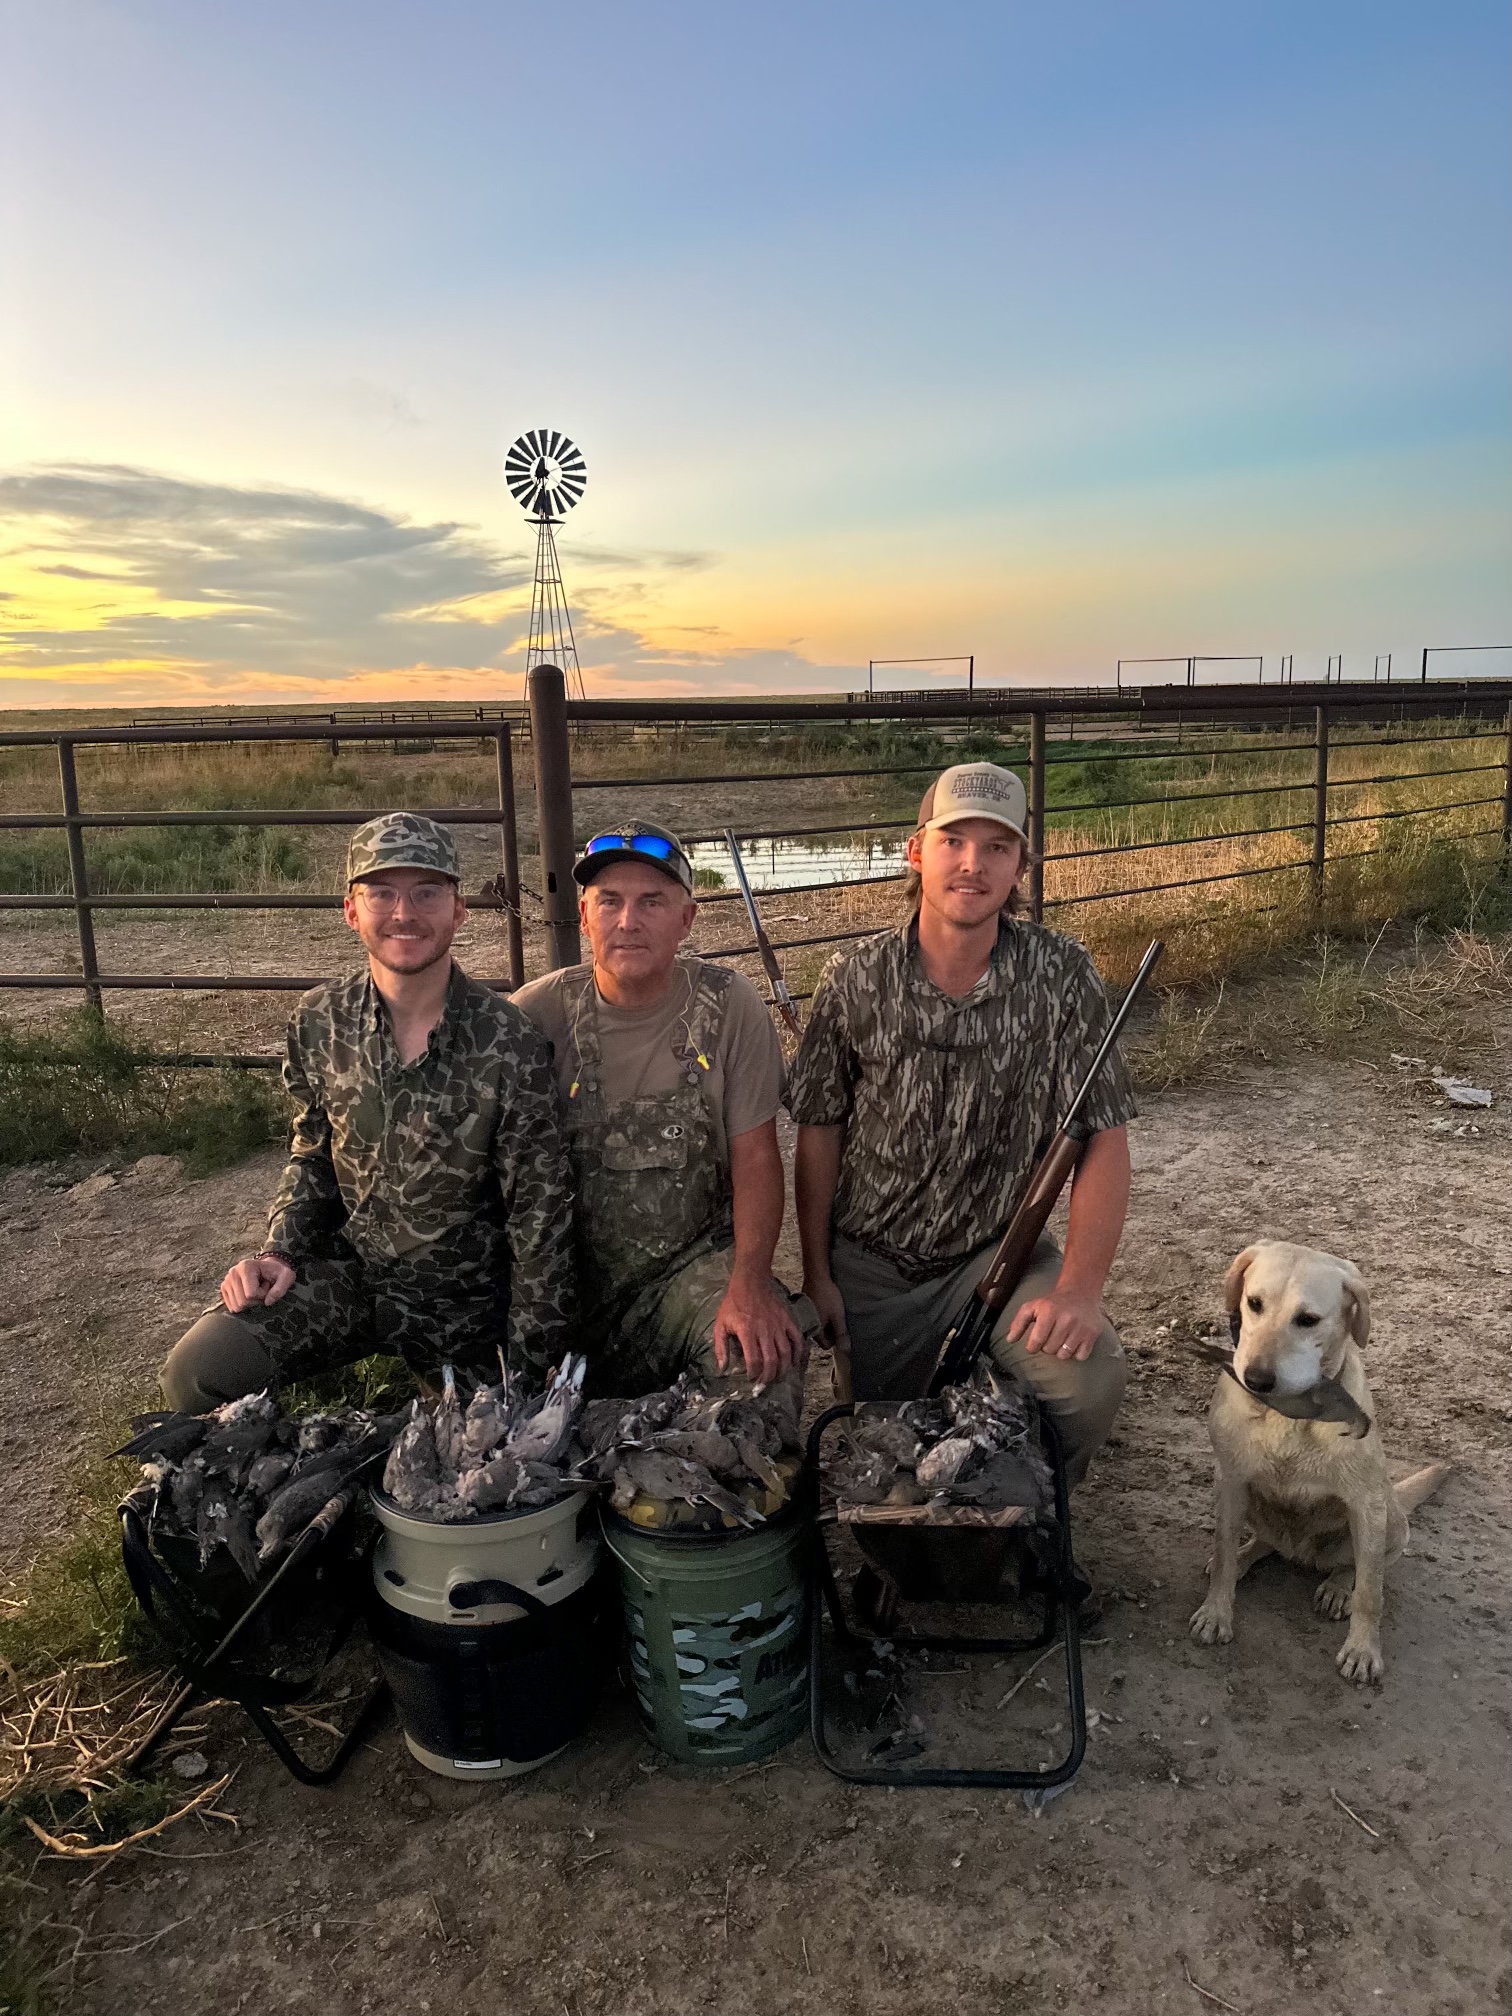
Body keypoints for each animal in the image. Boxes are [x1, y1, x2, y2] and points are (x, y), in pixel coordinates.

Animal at [1189, 1241, 1449, 1684]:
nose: (1255, 1379)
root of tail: (1301, 1552)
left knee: (1359, 1565)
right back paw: (1246, 1556)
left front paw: (1363, 1649)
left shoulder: (1365, 1504)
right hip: (1245, 1502)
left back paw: (1338, 1586)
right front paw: (1216, 1612)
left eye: (1307, 1320)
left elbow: (1370, 1590)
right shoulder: (1232, 1481)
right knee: (1262, 1543)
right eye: (1254, 1303)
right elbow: (1222, 1554)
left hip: (1390, 1522)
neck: (1288, 1414)